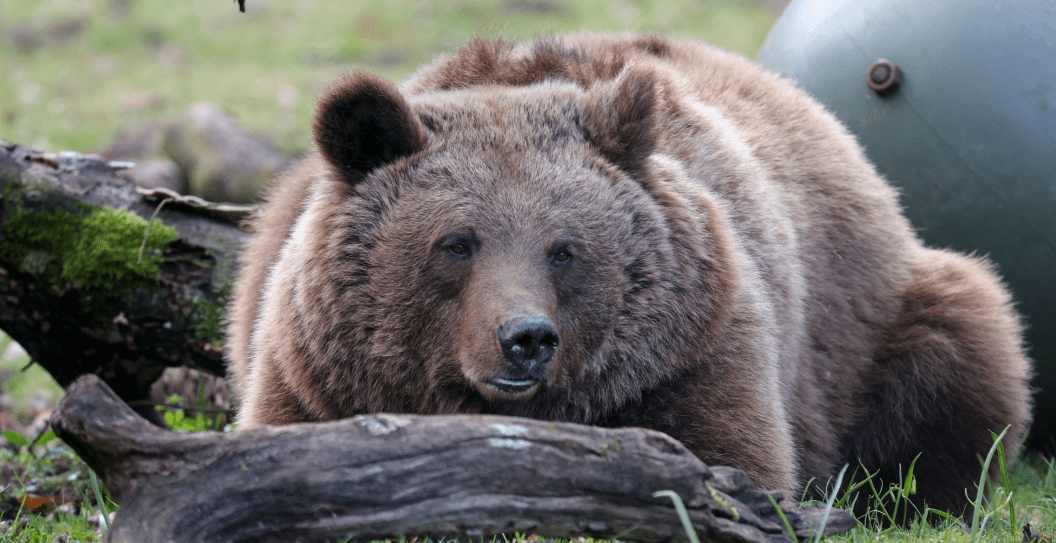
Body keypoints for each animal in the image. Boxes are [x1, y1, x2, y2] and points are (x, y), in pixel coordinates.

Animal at [227, 33, 1032, 517]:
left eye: (564, 247)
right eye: (456, 242)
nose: (526, 338)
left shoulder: (690, 350)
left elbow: (727, 461)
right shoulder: (316, 370)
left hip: (873, 320)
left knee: (957, 355)